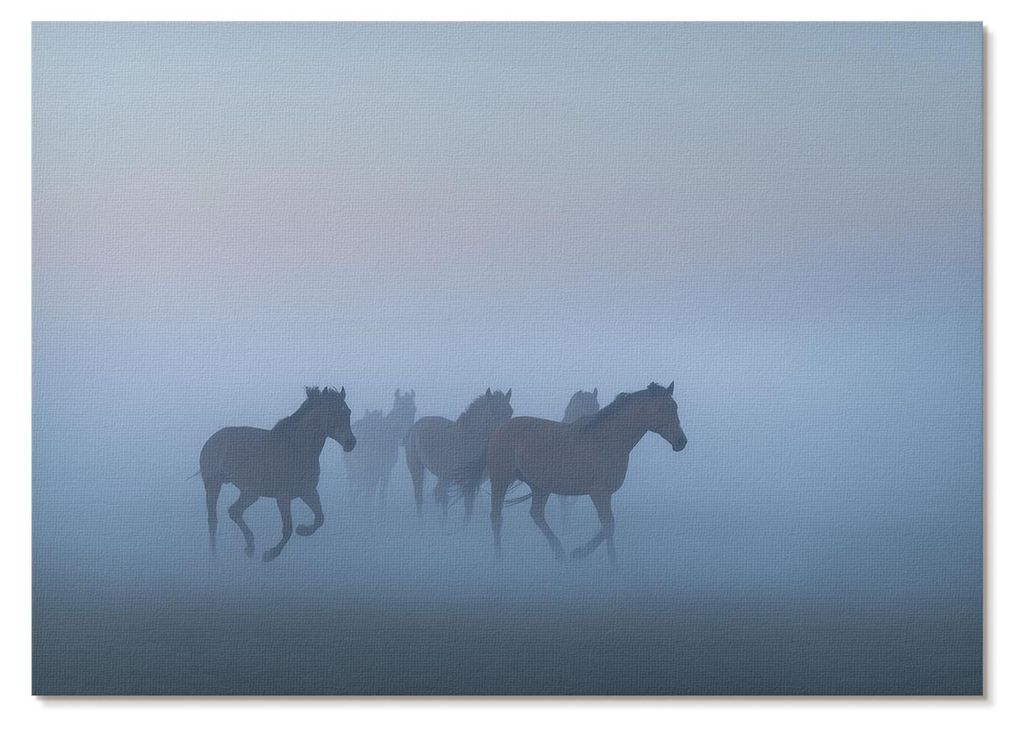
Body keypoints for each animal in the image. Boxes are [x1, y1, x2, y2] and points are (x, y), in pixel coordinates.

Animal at [199, 386, 356, 562]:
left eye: (348, 412)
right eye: (331, 413)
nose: (351, 443)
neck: (296, 450)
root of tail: (212, 439)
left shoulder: (308, 492)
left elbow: (320, 518)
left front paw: (303, 530)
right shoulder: (283, 497)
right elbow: (287, 529)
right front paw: (270, 554)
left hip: (250, 492)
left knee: (234, 511)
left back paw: (250, 548)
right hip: (213, 485)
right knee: (213, 521)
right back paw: (215, 556)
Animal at [404, 388, 513, 523]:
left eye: (510, 412)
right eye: (492, 411)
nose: (506, 438)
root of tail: (415, 426)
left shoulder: (472, 483)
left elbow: (469, 510)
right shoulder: (462, 482)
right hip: (419, 469)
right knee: (422, 497)